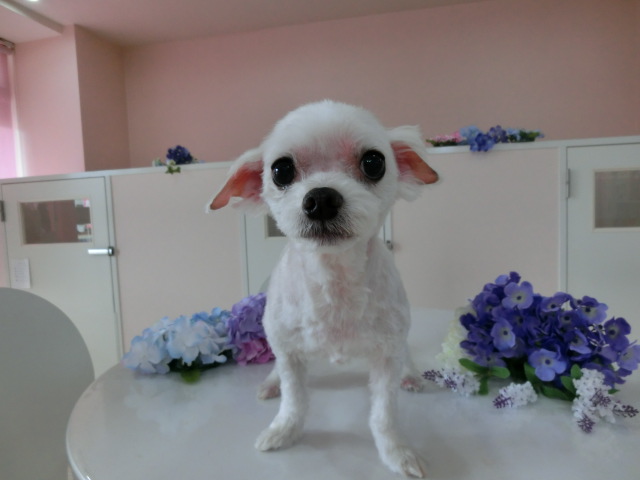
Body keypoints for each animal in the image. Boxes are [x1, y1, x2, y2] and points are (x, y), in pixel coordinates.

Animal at [208, 100, 438, 477]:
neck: (334, 280)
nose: (322, 198)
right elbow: (294, 399)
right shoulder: (287, 349)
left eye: (374, 162)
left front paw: (396, 451)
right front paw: (283, 430)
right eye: (280, 170)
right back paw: (270, 382)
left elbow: (384, 413)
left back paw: (411, 376)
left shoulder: (387, 353)